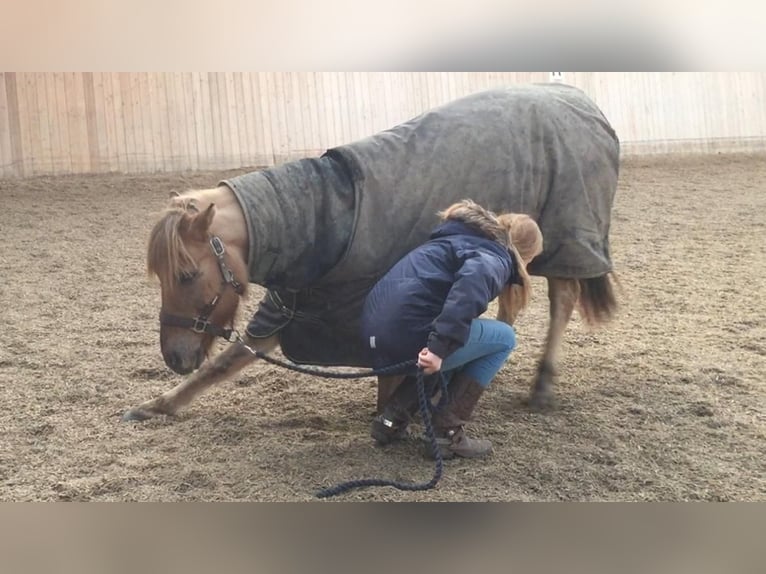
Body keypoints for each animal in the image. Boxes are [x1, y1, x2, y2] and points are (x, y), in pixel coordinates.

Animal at [123, 82, 620, 424]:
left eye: (187, 275)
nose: (173, 357)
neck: (323, 217)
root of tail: (583, 100)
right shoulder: (289, 313)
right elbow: (225, 363)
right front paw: (156, 406)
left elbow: (391, 372)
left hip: (567, 239)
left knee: (562, 299)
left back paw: (542, 385)